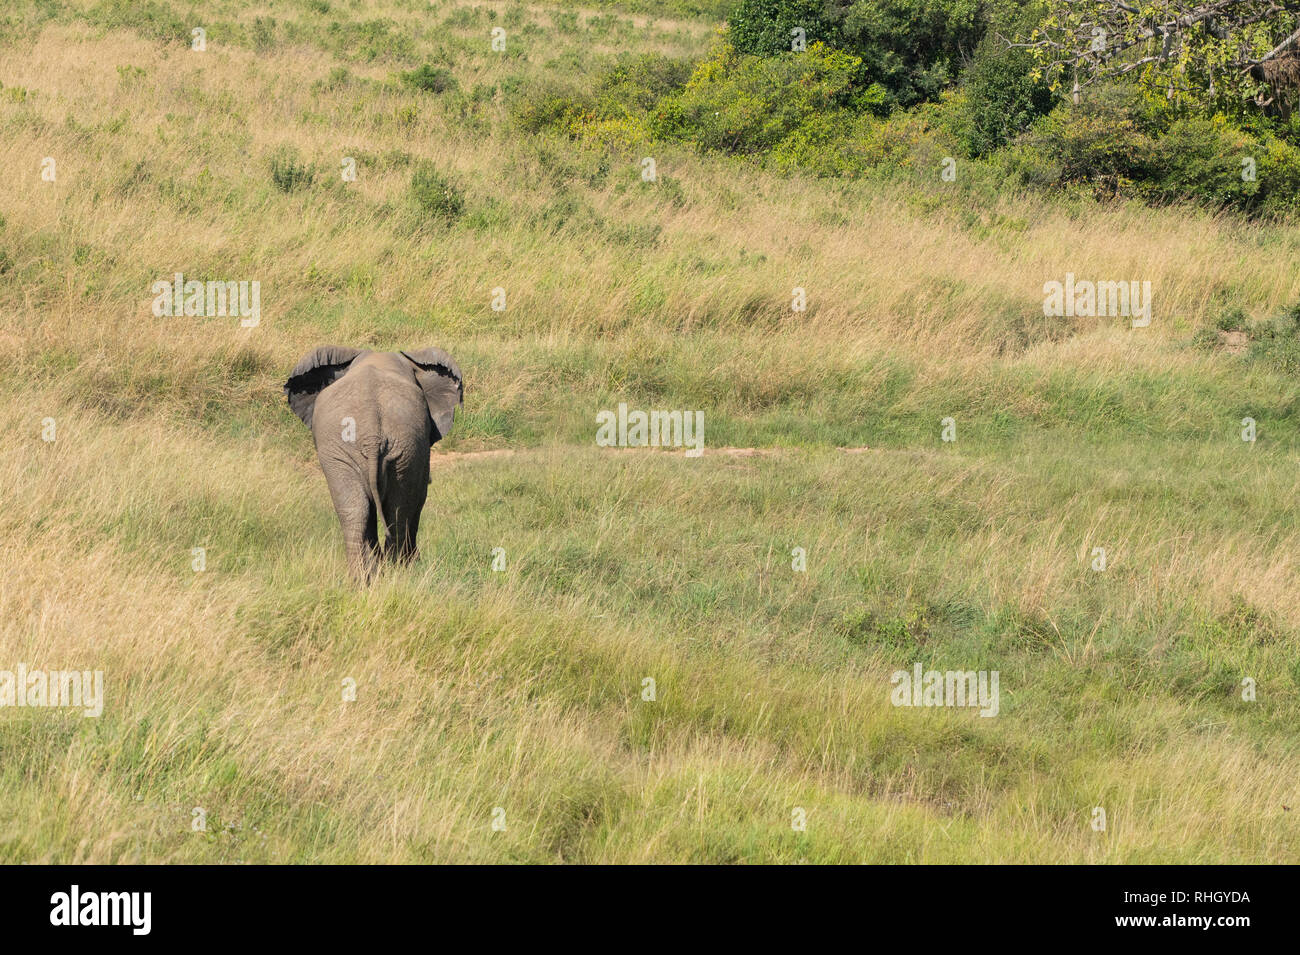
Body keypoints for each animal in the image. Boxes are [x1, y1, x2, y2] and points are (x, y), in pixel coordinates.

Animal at [284, 348, 462, 579]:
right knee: (394, 510)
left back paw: (367, 579)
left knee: (359, 510)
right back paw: (393, 573)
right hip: (391, 449)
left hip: (384, 450)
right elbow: (419, 496)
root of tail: (372, 435)